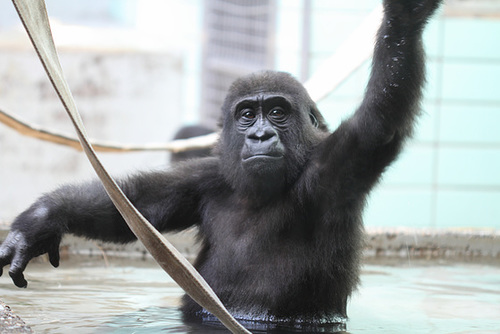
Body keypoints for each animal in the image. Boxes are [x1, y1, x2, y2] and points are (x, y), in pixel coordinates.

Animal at [1, 0, 444, 328]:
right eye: (247, 114)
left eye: (277, 112)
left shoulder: (334, 166)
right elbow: (134, 208)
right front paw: (40, 221)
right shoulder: (207, 177)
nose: (260, 135)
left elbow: (378, 123)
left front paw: (404, 20)